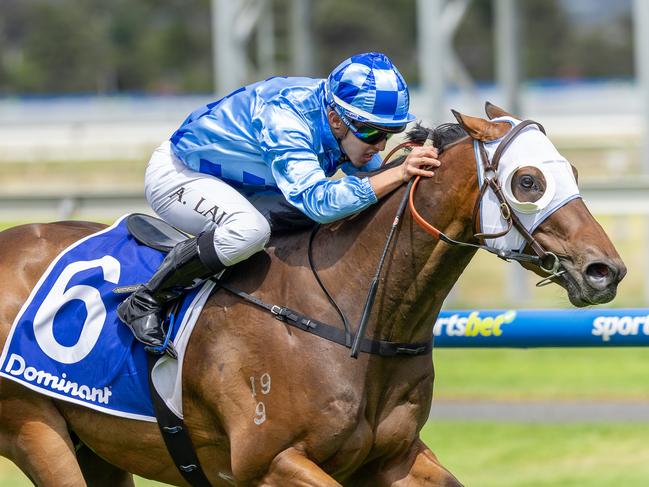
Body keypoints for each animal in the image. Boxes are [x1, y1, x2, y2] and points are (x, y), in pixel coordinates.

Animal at [0, 105, 624, 486]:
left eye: (572, 170)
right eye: (528, 181)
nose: (605, 271)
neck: (350, 319)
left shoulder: (393, 457)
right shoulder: (270, 463)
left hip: (99, 448)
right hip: (35, 430)